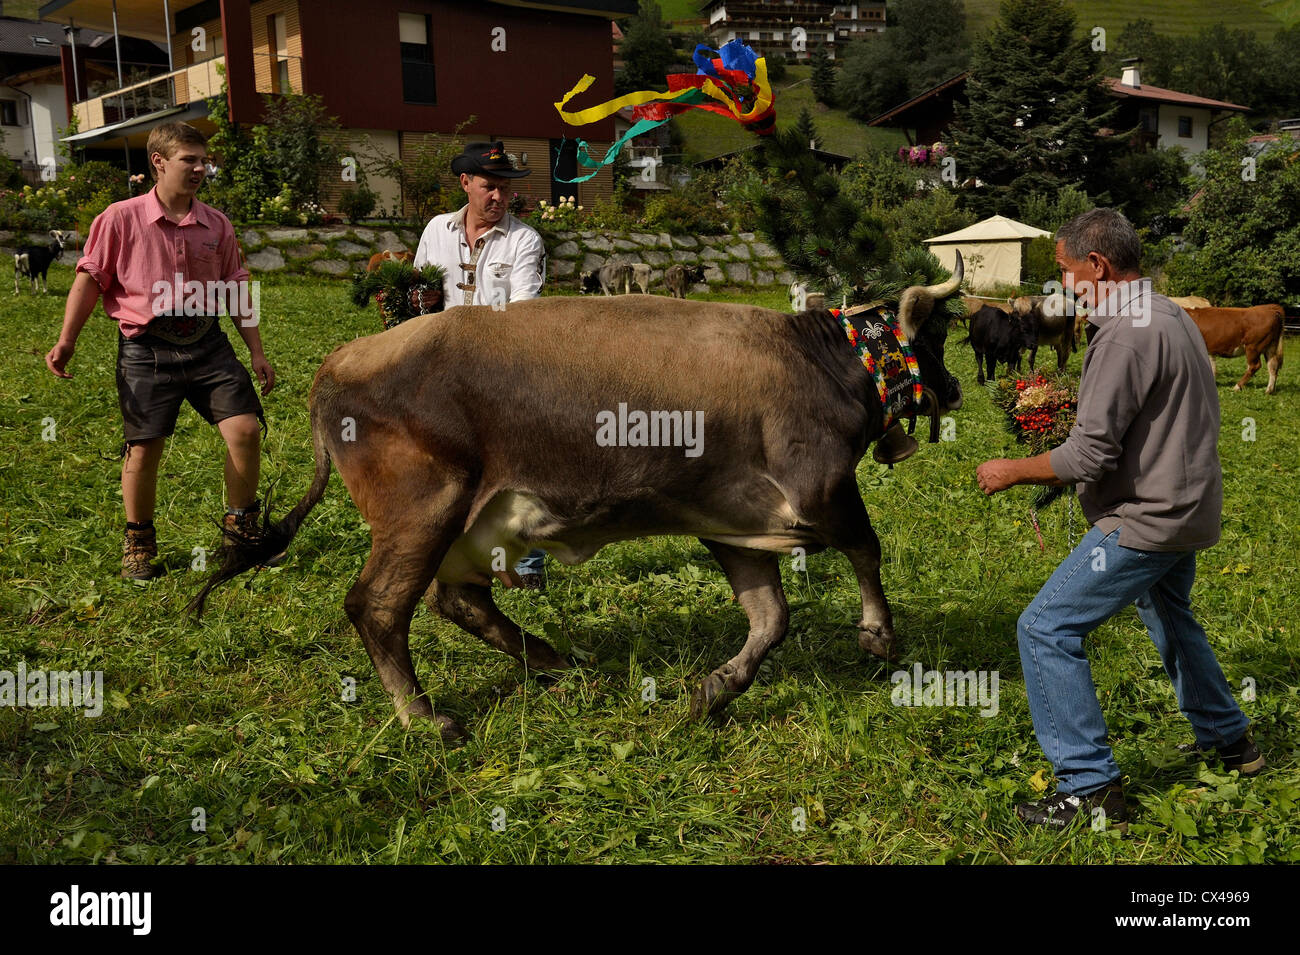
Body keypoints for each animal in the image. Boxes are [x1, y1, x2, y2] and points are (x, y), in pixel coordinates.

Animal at [192, 254, 967, 738]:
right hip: (425, 509)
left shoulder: (730, 518)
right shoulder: (822, 488)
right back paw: (425, 716)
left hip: (470, 522)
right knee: (379, 606)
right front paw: (878, 632)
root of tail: (341, 362)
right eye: (934, 337)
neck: (821, 361)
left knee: (459, 600)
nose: (958, 388)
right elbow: (866, 547)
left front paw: (715, 690)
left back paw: (556, 662)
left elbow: (769, 617)